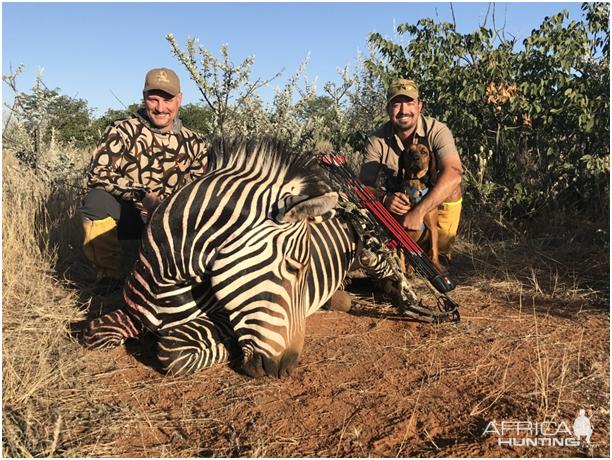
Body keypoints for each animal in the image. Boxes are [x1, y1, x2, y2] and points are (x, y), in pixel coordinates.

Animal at [85, 138, 402, 380]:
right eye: (294, 267)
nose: (288, 368)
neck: (167, 282)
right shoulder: (131, 314)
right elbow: (94, 331)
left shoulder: (225, 316)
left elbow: (172, 350)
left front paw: (230, 348)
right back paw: (340, 295)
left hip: (371, 255)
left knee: (392, 270)